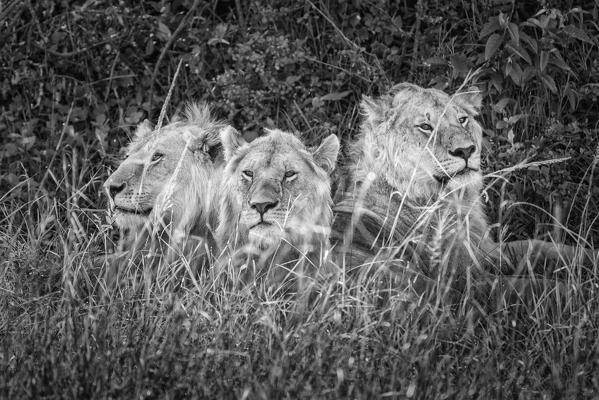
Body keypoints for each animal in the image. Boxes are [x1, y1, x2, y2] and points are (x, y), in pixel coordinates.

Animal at [336, 83, 596, 296]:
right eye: (425, 126)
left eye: (462, 120)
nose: (466, 150)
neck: (455, 200)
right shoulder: (466, 277)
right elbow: (530, 286)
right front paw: (582, 290)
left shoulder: (484, 249)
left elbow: (541, 246)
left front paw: (591, 257)